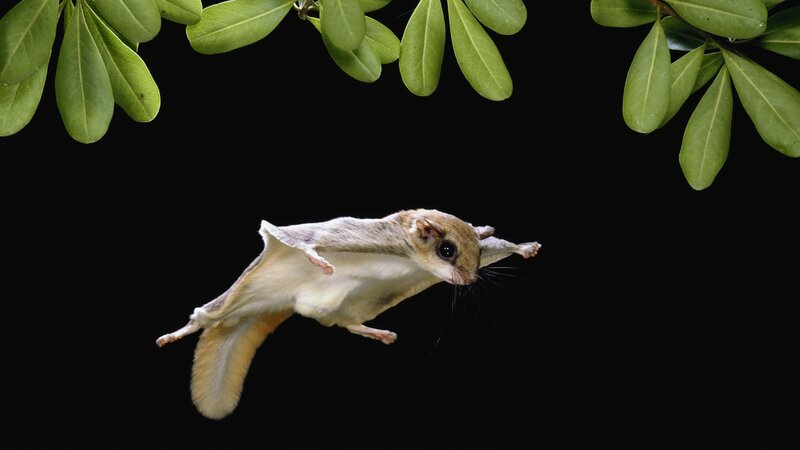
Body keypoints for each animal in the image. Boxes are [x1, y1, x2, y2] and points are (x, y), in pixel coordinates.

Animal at [156, 208, 540, 419]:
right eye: (447, 250)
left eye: (475, 255)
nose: (471, 279)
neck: (409, 253)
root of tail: (280, 301)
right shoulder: (355, 232)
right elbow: (298, 237)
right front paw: (318, 259)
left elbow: (497, 245)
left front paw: (524, 248)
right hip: (240, 295)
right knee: (207, 315)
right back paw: (177, 333)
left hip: (354, 303)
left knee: (344, 322)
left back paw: (377, 332)